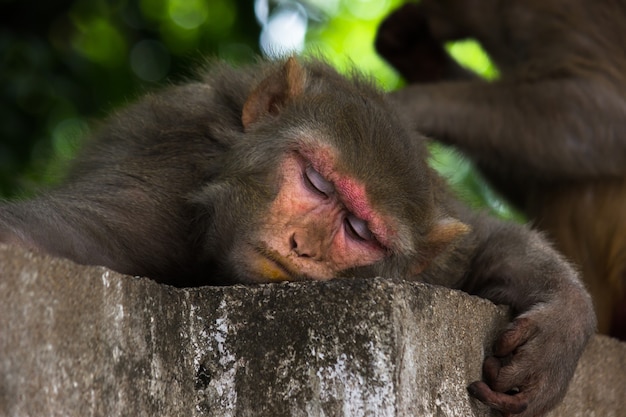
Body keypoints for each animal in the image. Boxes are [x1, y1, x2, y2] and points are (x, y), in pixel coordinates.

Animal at [0, 56, 592, 416]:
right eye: (315, 181)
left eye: (359, 229)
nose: (300, 245)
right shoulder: (166, 179)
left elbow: (480, 240)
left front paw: (559, 328)